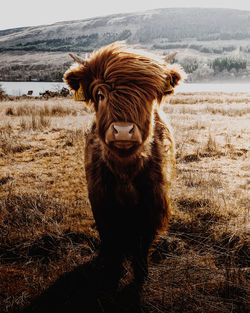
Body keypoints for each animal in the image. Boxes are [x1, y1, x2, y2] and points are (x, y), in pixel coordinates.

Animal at [63, 42, 183, 290]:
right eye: (100, 95)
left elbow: (142, 243)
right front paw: (113, 271)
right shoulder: (101, 201)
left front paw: (141, 275)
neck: (125, 171)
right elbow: (111, 239)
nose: (124, 131)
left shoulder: (153, 202)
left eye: (148, 96)